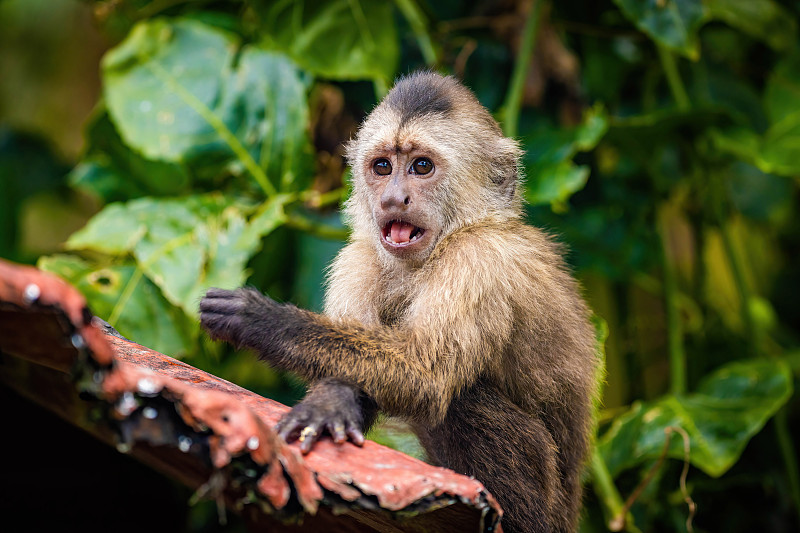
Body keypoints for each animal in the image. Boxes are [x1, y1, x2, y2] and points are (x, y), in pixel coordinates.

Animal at [200, 71, 600, 532]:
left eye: (421, 166)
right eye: (383, 167)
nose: (392, 199)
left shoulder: (478, 260)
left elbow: (425, 375)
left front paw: (264, 321)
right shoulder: (357, 258)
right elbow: (355, 371)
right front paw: (329, 404)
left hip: (546, 510)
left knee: (459, 399)